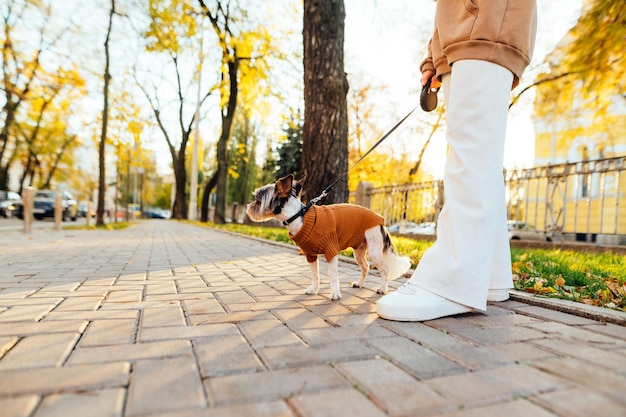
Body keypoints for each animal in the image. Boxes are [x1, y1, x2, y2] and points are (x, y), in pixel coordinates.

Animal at [244, 173, 410, 300]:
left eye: (258, 200)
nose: (248, 207)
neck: (298, 216)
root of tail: (381, 221)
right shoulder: (310, 254)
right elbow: (315, 274)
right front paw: (314, 289)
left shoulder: (331, 251)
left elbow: (333, 276)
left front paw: (335, 294)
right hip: (359, 251)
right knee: (365, 266)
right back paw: (359, 283)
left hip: (374, 250)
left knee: (384, 269)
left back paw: (382, 288)